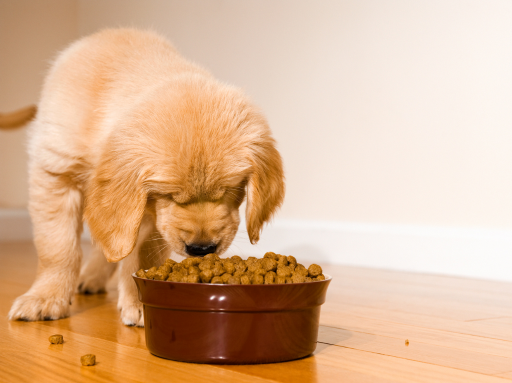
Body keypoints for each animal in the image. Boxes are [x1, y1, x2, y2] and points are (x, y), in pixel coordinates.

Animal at [8, 28, 286, 328]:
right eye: (169, 195)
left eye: (230, 190)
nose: (202, 248)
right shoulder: (55, 172)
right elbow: (57, 247)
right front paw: (45, 297)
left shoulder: (150, 215)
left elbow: (141, 253)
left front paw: (139, 300)